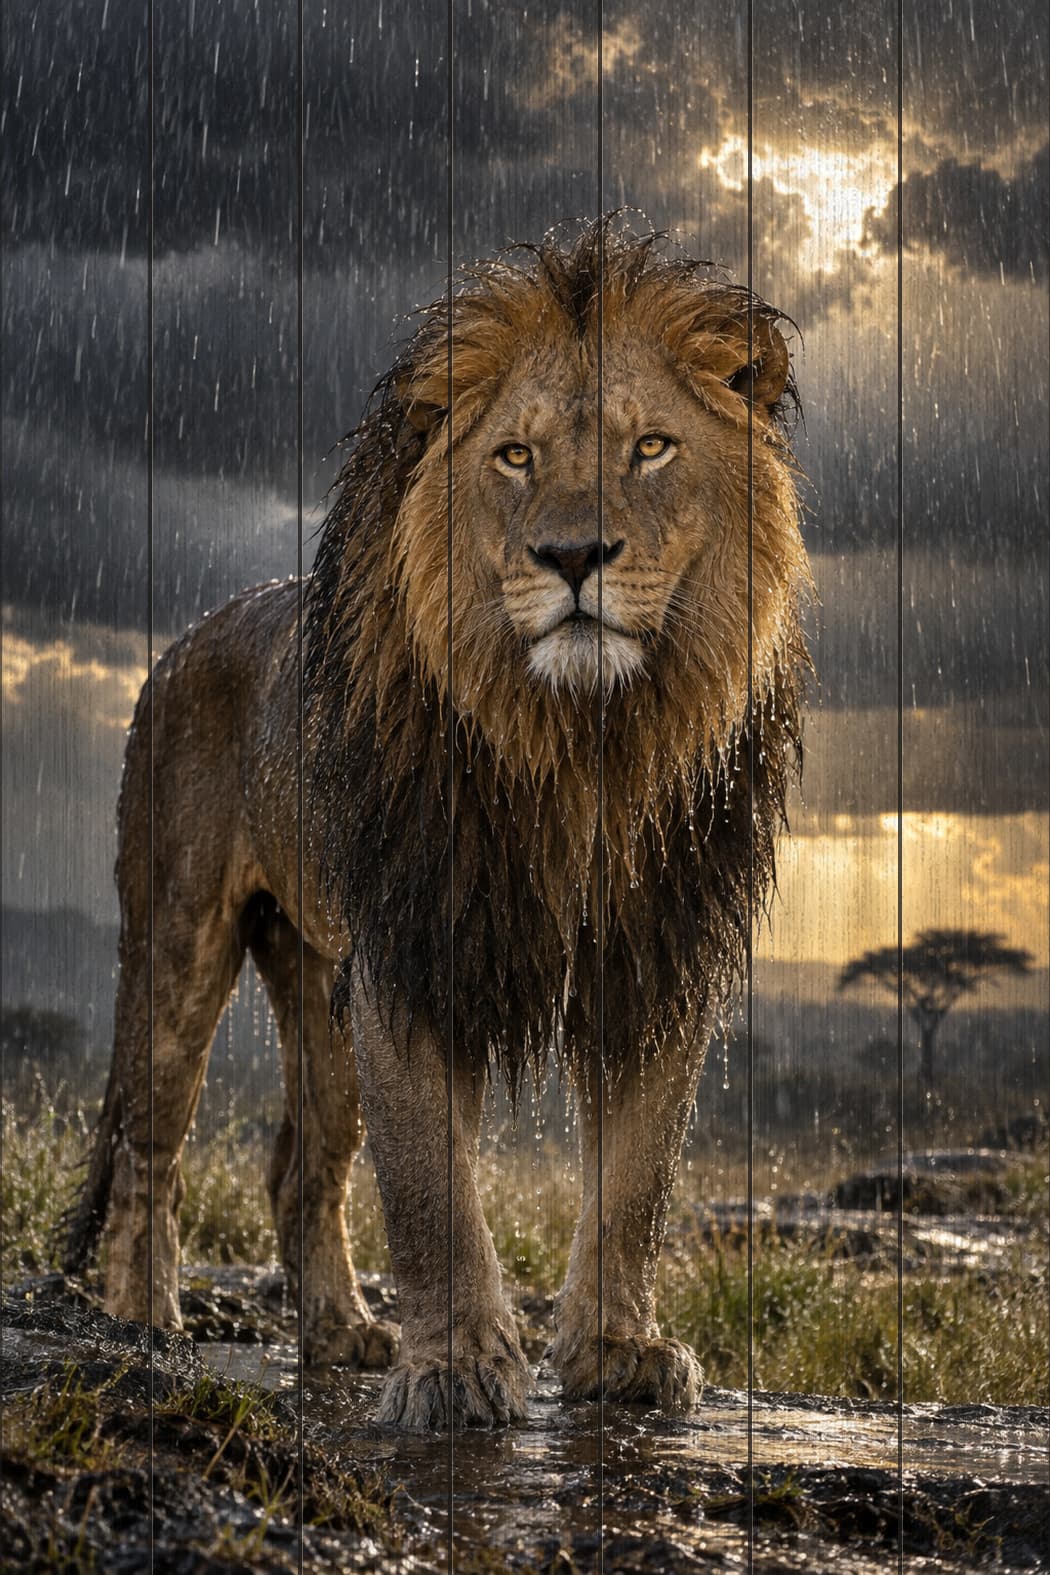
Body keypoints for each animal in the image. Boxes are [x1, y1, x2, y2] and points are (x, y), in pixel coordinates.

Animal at [64, 219, 810, 1431]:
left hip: (312, 966)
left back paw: (340, 1333)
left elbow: (637, 1182)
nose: (574, 558)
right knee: (151, 1144)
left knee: (300, 1165)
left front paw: (619, 1353)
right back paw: (145, 1322)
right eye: (514, 458)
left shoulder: (655, 958)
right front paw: (457, 1368)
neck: (580, 743)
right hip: (180, 935)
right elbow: (431, 1190)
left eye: (651, 449)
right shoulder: (415, 947)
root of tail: (182, 642)